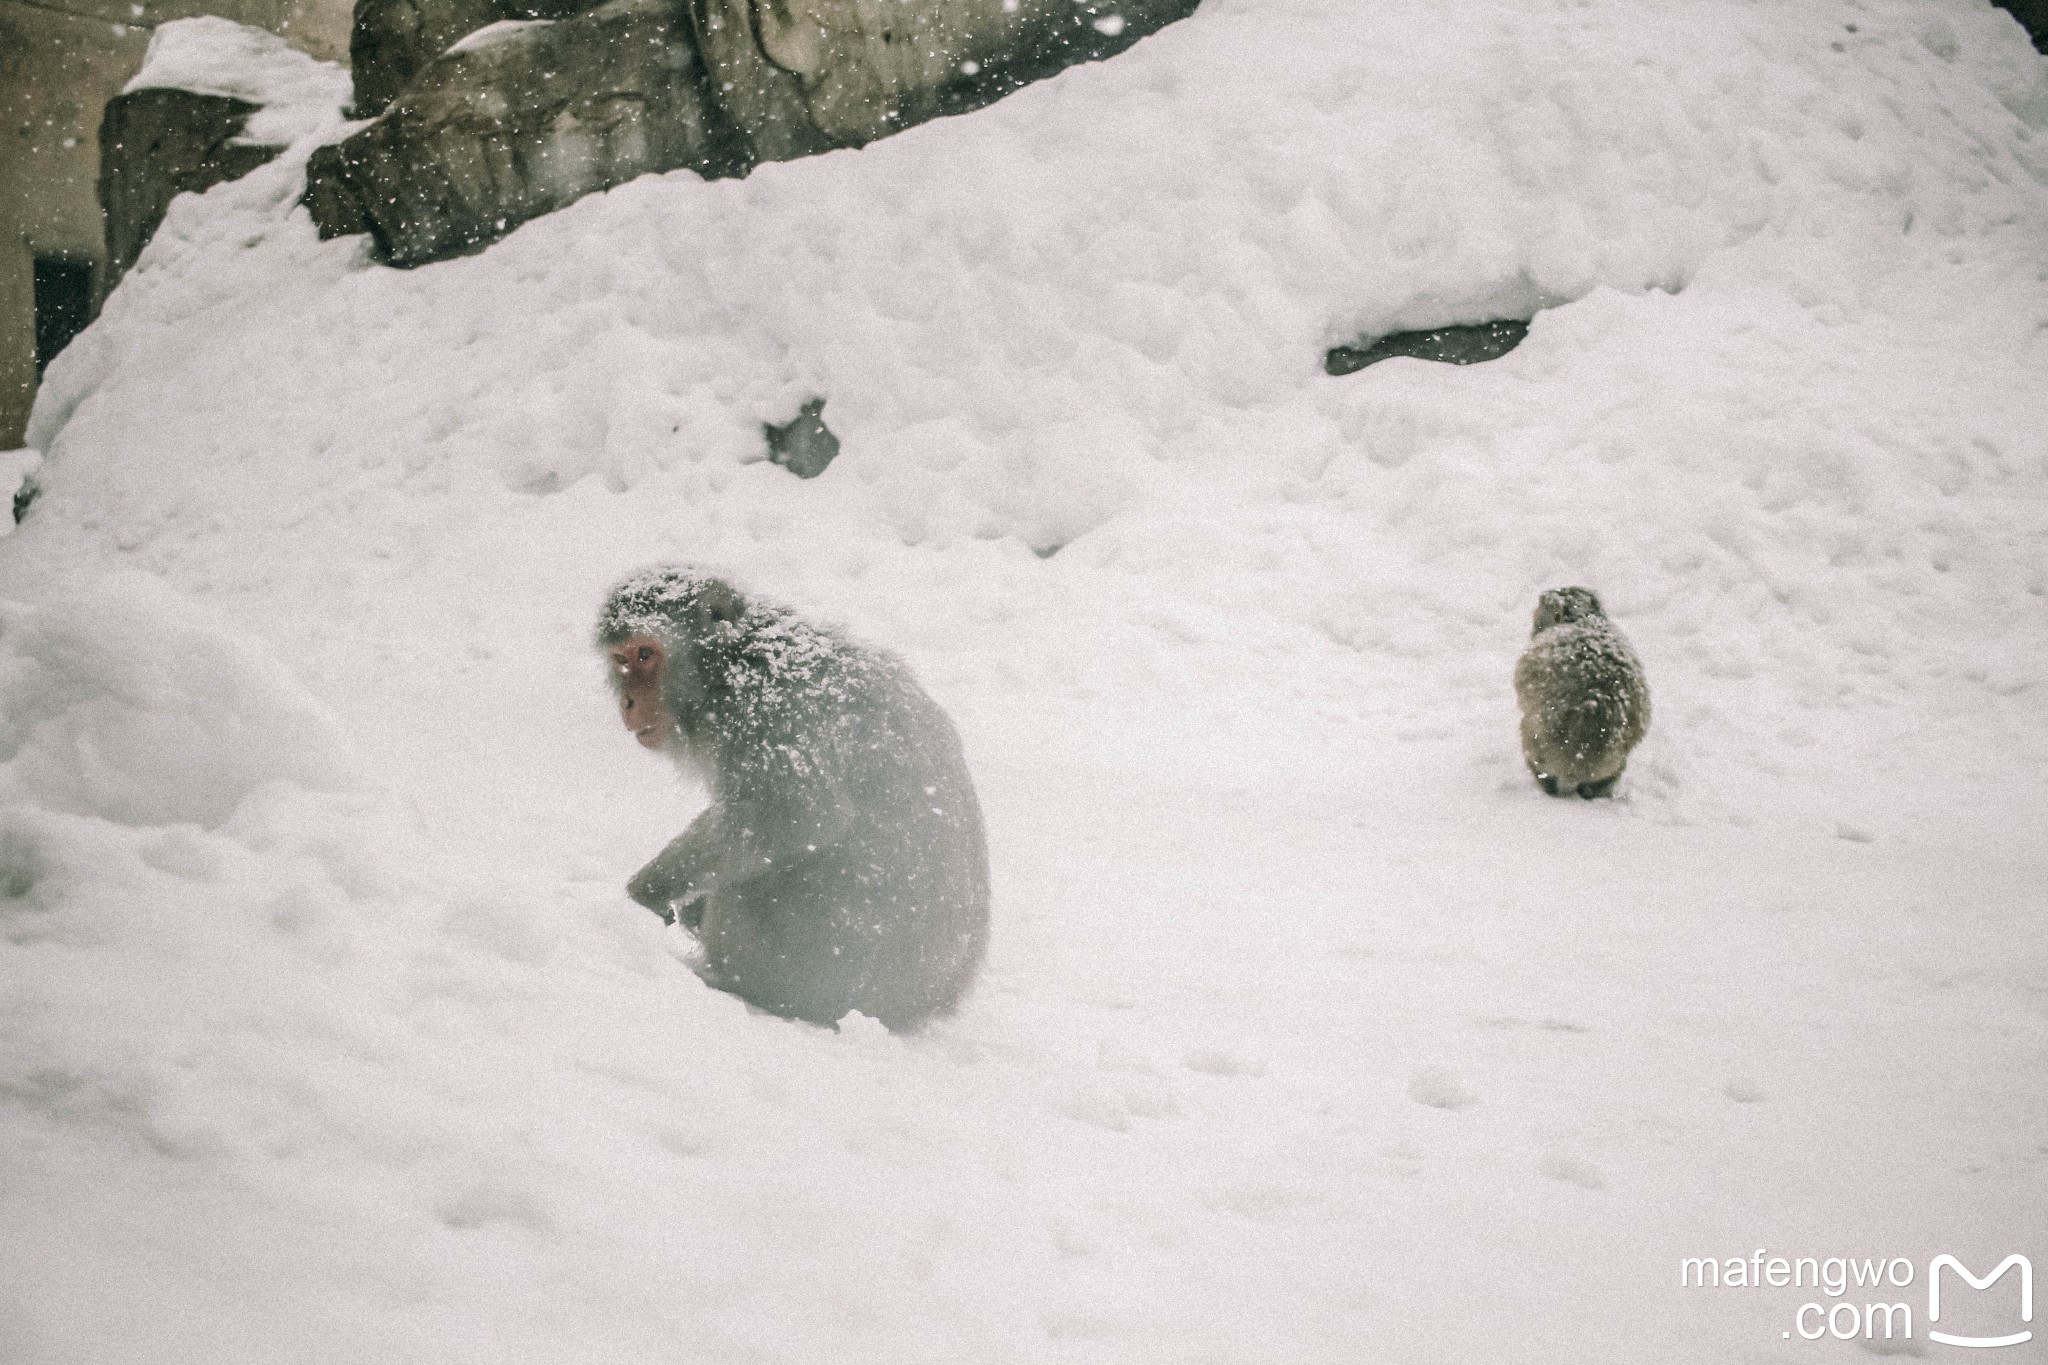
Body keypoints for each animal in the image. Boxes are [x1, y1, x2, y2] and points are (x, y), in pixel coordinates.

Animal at [598, 564, 987, 1023]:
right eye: (621, 659)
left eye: (646, 654)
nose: (628, 702)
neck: (730, 667)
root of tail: (923, 1006)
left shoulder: (771, 713)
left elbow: (796, 816)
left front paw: (646, 892)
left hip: (813, 971)